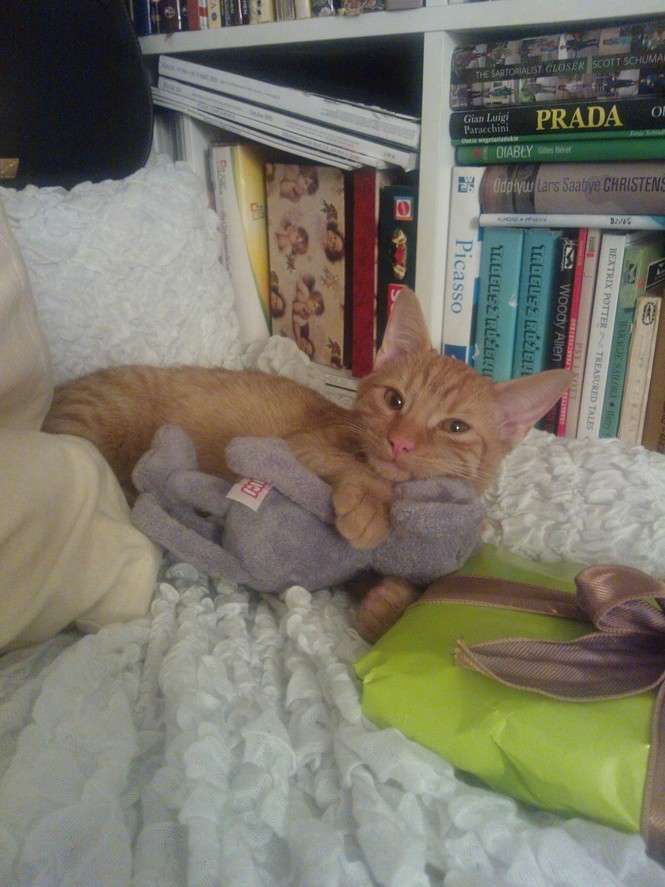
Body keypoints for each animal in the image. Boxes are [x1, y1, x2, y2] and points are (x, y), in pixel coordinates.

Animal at [43, 288, 570, 640]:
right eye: (395, 400)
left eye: (455, 427)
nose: (400, 442)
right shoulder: (298, 445)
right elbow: (359, 471)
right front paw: (370, 511)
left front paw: (389, 602)